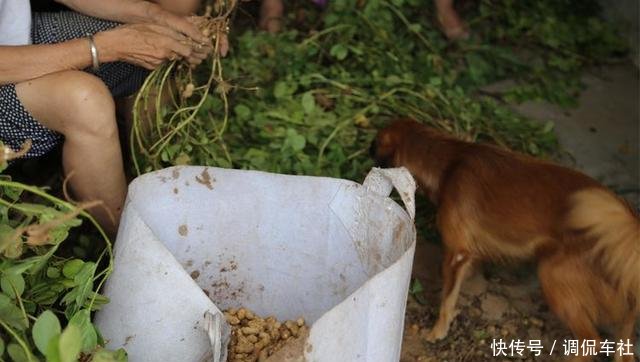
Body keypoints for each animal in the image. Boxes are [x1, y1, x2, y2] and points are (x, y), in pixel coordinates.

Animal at [370, 119, 640, 362]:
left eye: (375, 145)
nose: (367, 152)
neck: (450, 163)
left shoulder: (457, 253)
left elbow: (448, 297)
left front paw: (438, 331)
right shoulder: (468, 255)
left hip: (554, 275)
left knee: (591, 341)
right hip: (620, 318)